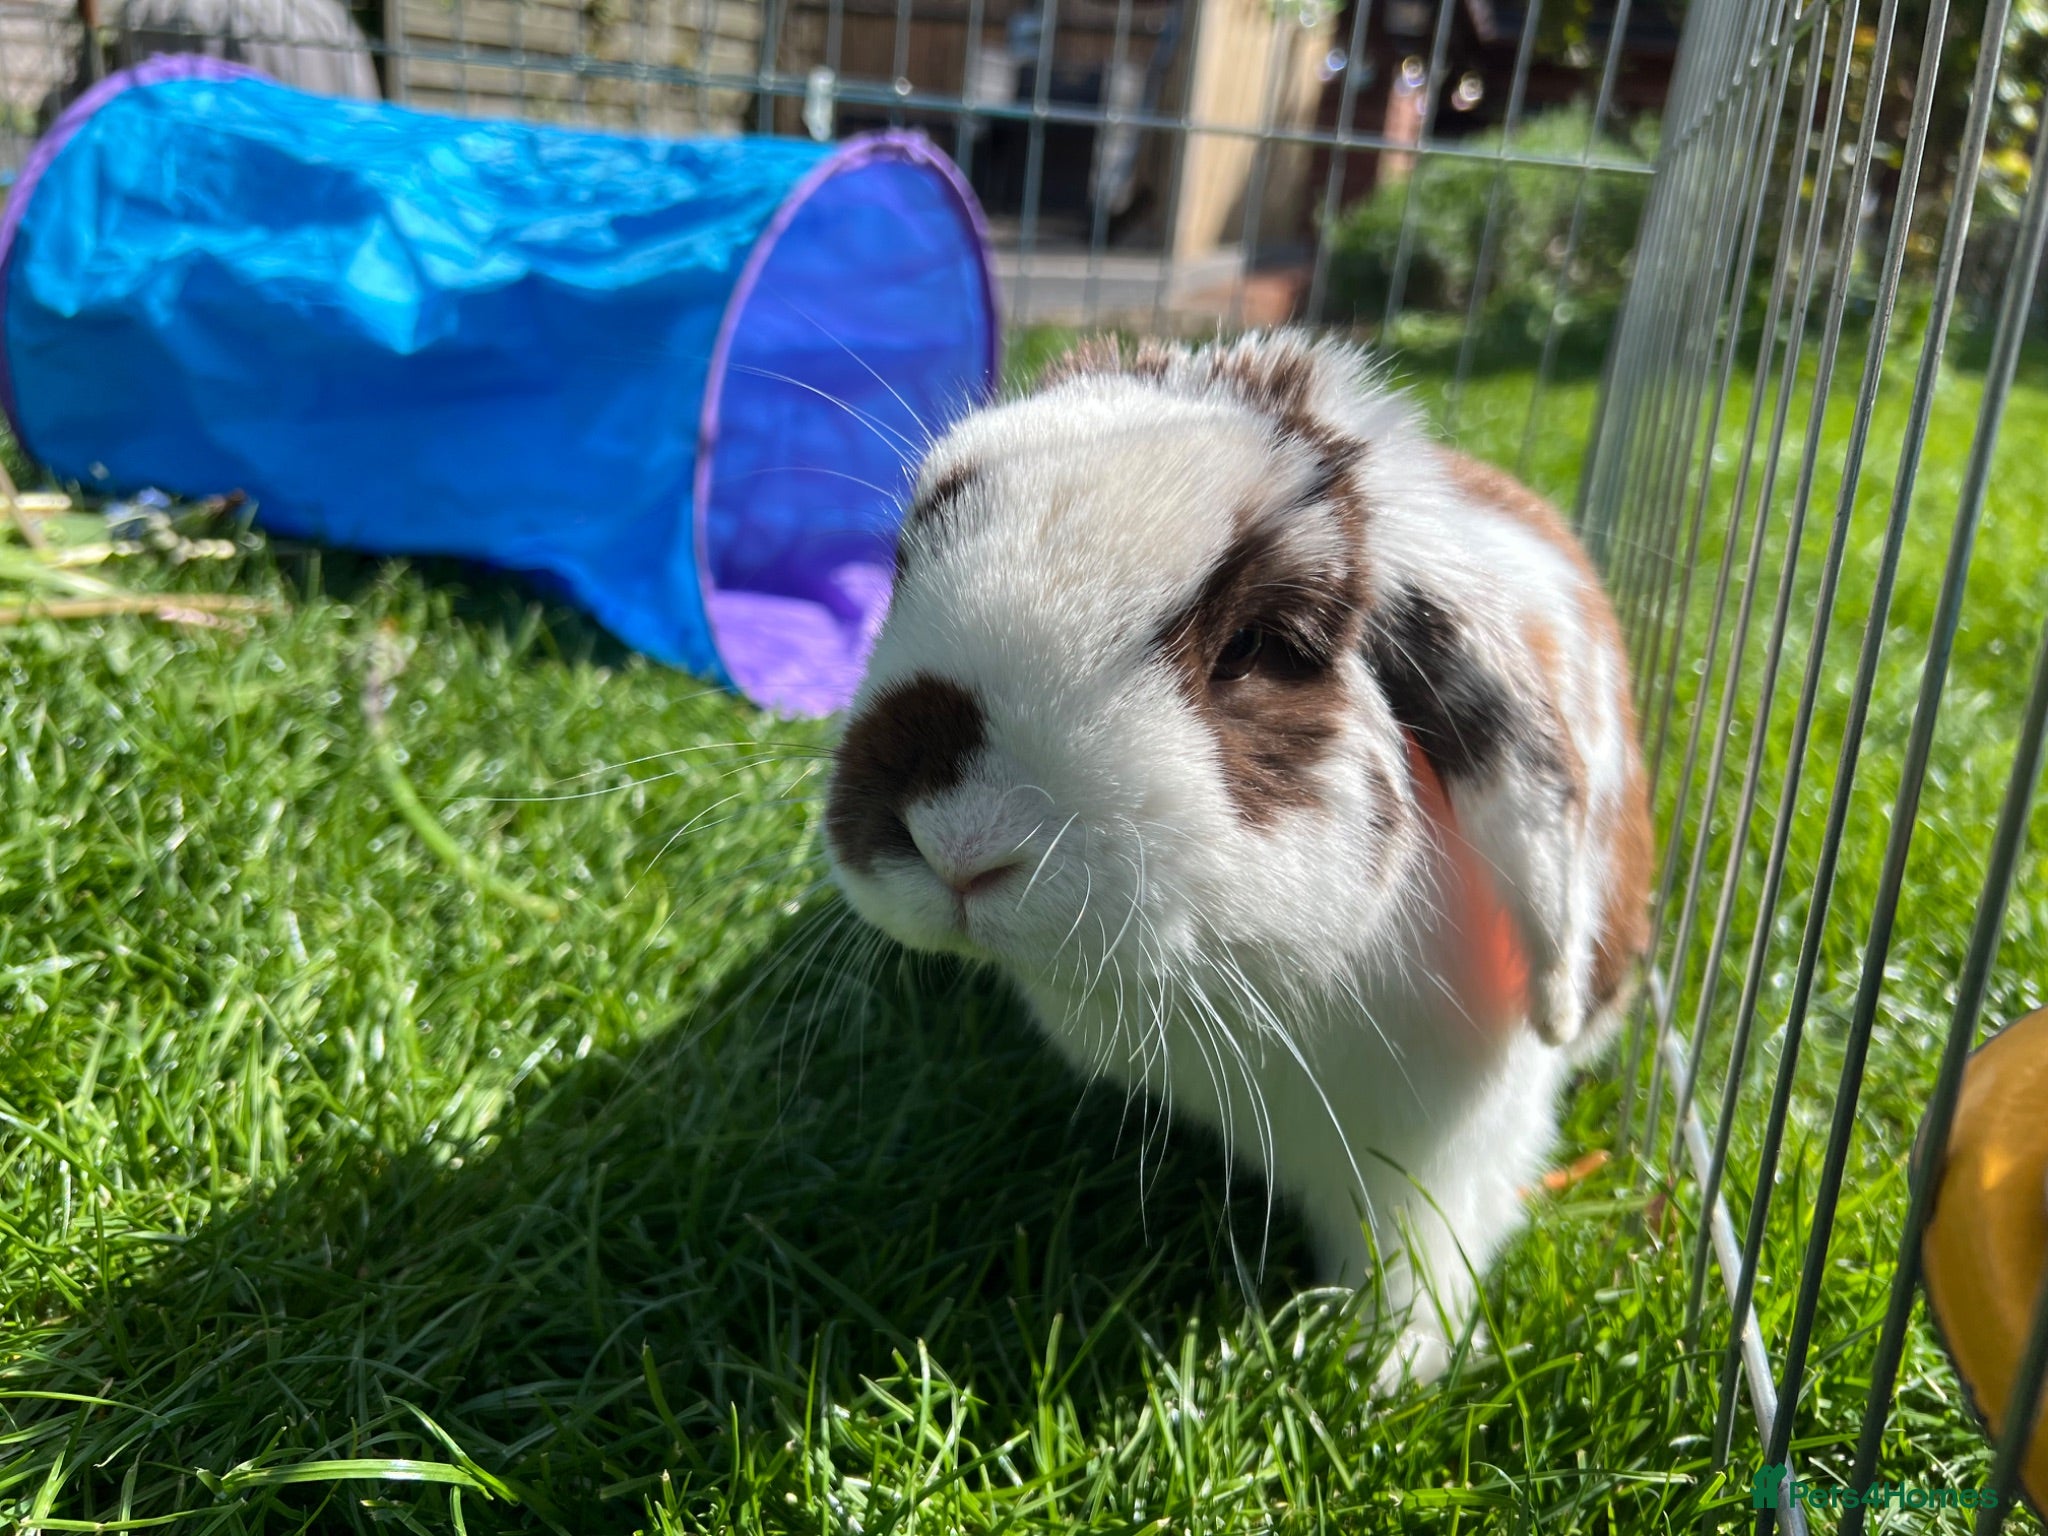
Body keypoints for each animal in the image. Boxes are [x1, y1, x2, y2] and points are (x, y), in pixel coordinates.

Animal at [822, 331, 1652, 1388]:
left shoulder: (1436, 1159)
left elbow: (1418, 1261)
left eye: (1258, 646)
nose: (955, 842)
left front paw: (1376, 1374)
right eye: (904, 558)